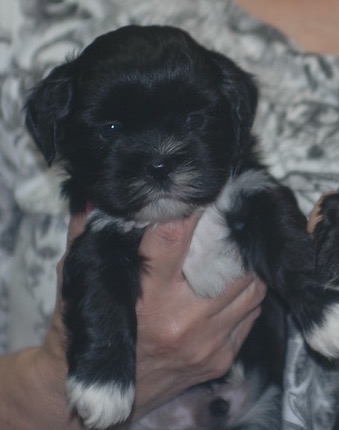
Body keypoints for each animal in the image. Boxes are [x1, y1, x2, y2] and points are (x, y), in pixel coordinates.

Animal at [24, 26, 339, 430]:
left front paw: (326, 318)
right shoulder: (101, 232)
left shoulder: (255, 191)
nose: (159, 165)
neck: (184, 216)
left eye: (194, 120)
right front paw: (102, 386)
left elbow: (290, 247)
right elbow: (100, 296)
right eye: (110, 129)